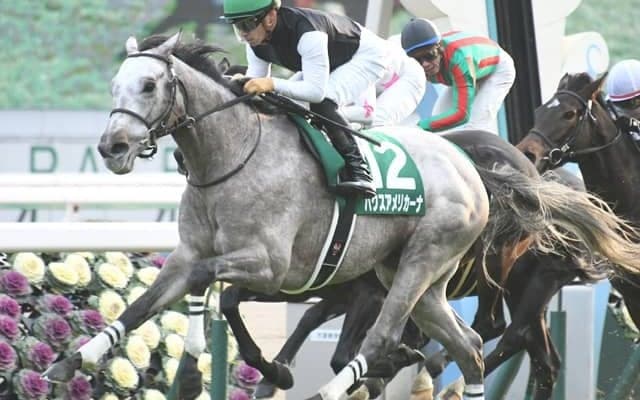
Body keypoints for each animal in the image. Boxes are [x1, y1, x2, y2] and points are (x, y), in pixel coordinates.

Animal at [43, 34, 640, 400]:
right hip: (419, 279)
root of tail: (477, 171)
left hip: (430, 265)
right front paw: (72, 362)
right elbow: (147, 303)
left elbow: (219, 290)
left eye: (149, 85)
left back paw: (339, 387)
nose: (113, 147)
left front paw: (245, 371)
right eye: (115, 86)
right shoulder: (198, 257)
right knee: (472, 346)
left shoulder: (270, 265)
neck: (232, 157)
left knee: (407, 338)